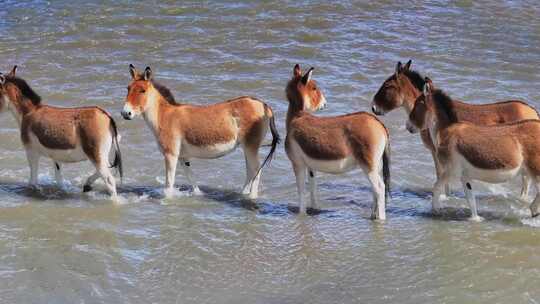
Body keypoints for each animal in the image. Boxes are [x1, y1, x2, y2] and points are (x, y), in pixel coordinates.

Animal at [0, 66, 122, 197]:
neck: (29, 112)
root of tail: (106, 116)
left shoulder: (31, 152)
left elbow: (33, 181)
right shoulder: (56, 159)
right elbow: (59, 181)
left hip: (95, 155)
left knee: (109, 180)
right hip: (101, 156)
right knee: (106, 170)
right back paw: (87, 185)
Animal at [122, 65, 278, 198]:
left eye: (142, 90)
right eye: (128, 88)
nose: (125, 113)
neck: (165, 116)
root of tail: (264, 105)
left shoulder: (170, 154)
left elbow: (169, 185)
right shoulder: (183, 157)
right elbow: (192, 179)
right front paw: (198, 195)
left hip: (251, 147)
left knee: (256, 170)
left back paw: (252, 197)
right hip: (247, 148)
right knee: (250, 171)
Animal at [284, 64, 390, 218]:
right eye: (314, 88)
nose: (325, 104)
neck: (297, 117)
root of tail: (378, 123)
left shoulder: (298, 164)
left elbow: (302, 191)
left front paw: (301, 215)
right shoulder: (310, 167)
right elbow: (313, 188)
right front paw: (315, 209)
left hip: (368, 166)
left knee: (380, 188)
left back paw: (381, 219)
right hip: (376, 167)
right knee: (375, 190)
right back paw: (373, 216)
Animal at [372, 60, 536, 198]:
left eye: (387, 86)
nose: (373, 108)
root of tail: (532, 110)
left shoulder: (437, 152)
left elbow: (441, 175)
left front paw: (445, 196)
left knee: (527, 180)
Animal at [408, 78, 540, 221]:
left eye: (418, 103)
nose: (408, 126)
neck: (446, 130)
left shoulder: (450, 171)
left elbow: (436, 187)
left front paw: (435, 211)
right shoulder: (464, 177)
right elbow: (471, 200)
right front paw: (475, 220)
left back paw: (533, 210)